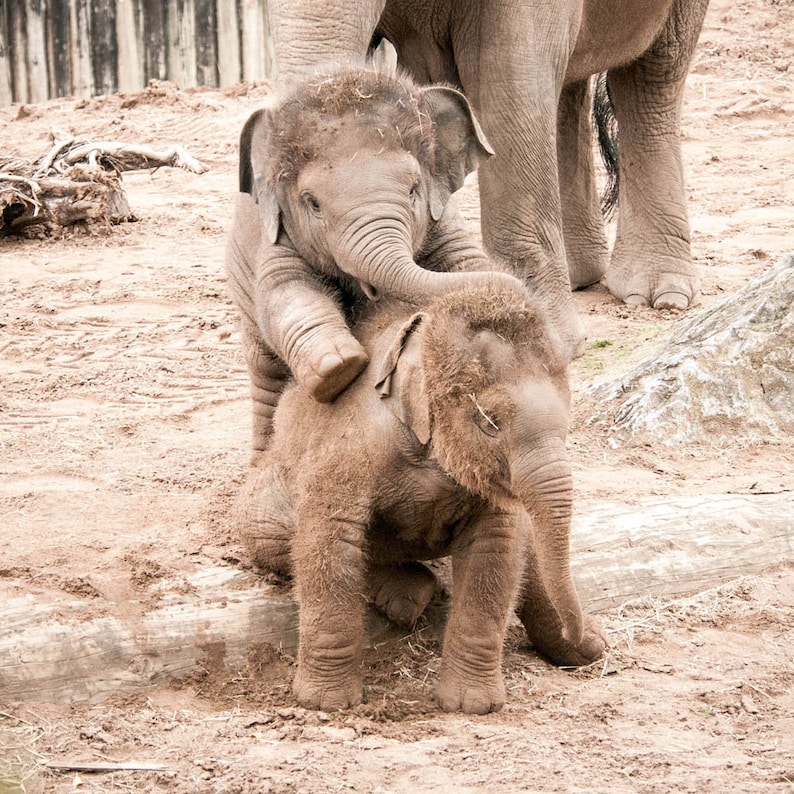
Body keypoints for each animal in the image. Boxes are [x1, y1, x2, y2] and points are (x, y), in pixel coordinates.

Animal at [268, 0, 712, 352]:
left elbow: (509, 74)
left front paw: (538, 336)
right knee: (569, 84)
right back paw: (579, 276)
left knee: (654, 75)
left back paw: (659, 295)